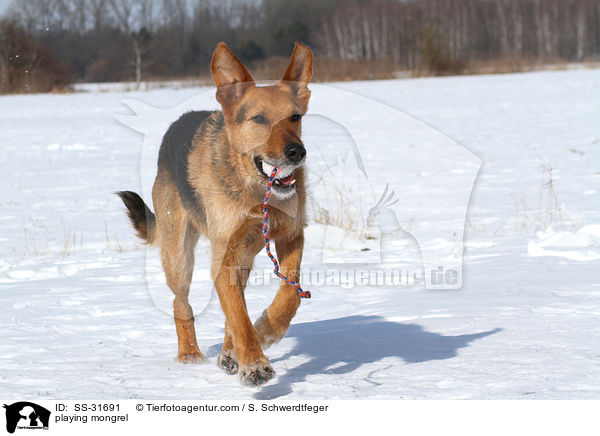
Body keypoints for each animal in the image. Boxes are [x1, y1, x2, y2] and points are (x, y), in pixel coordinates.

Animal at [118, 42, 314, 386]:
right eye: (259, 119)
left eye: (295, 117)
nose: (296, 152)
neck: (254, 190)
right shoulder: (226, 257)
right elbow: (238, 314)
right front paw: (254, 363)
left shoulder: (290, 236)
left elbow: (288, 295)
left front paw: (266, 331)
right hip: (179, 256)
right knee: (181, 302)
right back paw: (190, 354)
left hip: (242, 256)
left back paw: (228, 352)